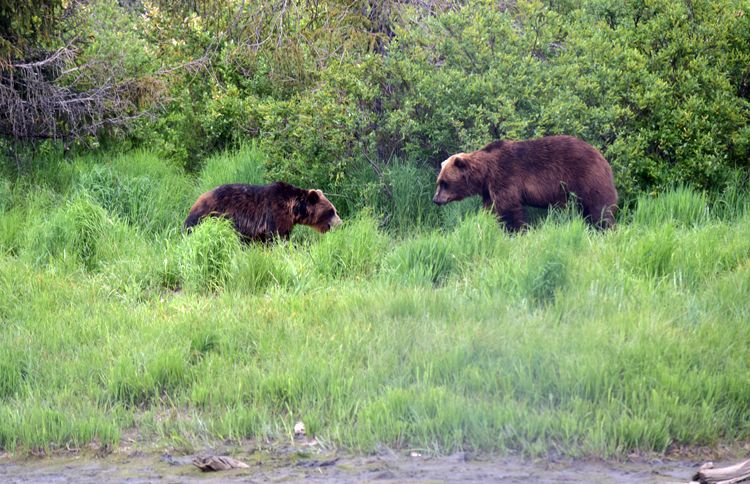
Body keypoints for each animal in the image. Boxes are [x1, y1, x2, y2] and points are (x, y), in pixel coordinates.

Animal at [187, 182, 342, 242]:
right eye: (331, 211)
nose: (340, 223)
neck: (294, 209)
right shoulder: (275, 215)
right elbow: (277, 237)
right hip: (210, 216)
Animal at [432, 134, 620, 229]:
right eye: (439, 181)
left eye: (444, 182)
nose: (436, 199)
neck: (485, 173)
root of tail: (602, 158)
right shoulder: (489, 189)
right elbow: (490, 208)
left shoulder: (505, 176)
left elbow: (509, 208)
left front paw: (516, 230)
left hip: (587, 177)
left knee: (599, 207)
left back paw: (604, 227)